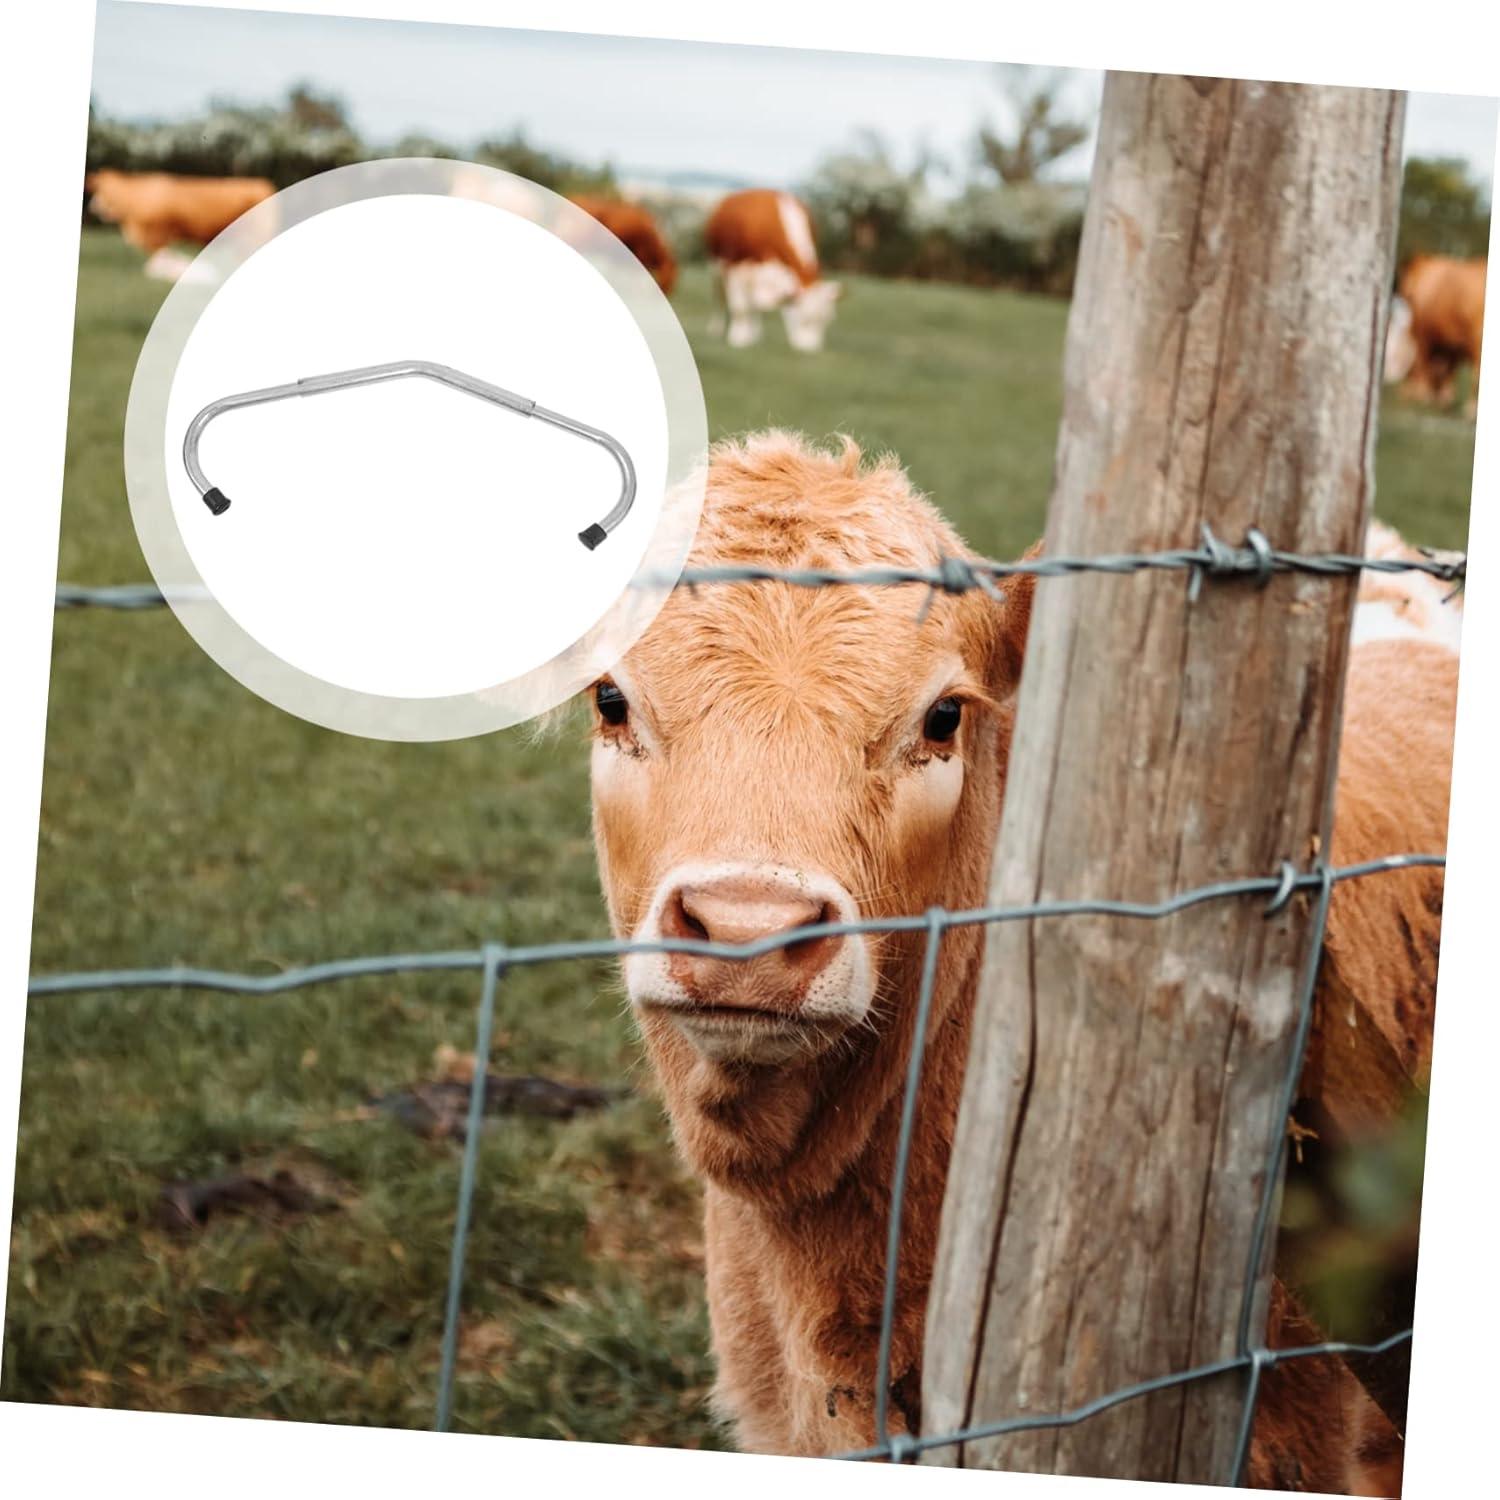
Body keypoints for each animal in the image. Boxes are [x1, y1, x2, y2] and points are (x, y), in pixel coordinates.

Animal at [704, 189, 842, 352]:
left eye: (825, 320)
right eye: (805, 319)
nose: (810, 350)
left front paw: (749, 336)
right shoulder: (736, 267)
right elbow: (739, 308)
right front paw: (737, 338)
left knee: (752, 304)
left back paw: (754, 333)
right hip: (716, 267)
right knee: (719, 297)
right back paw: (717, 329)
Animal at [1385, 254, 1486, 417]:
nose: (1403, 393)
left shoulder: (1423, 336)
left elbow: (1426, 363)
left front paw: (1427, 396)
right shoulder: (1452, 344)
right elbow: (1447, 369)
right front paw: (1443, 399)